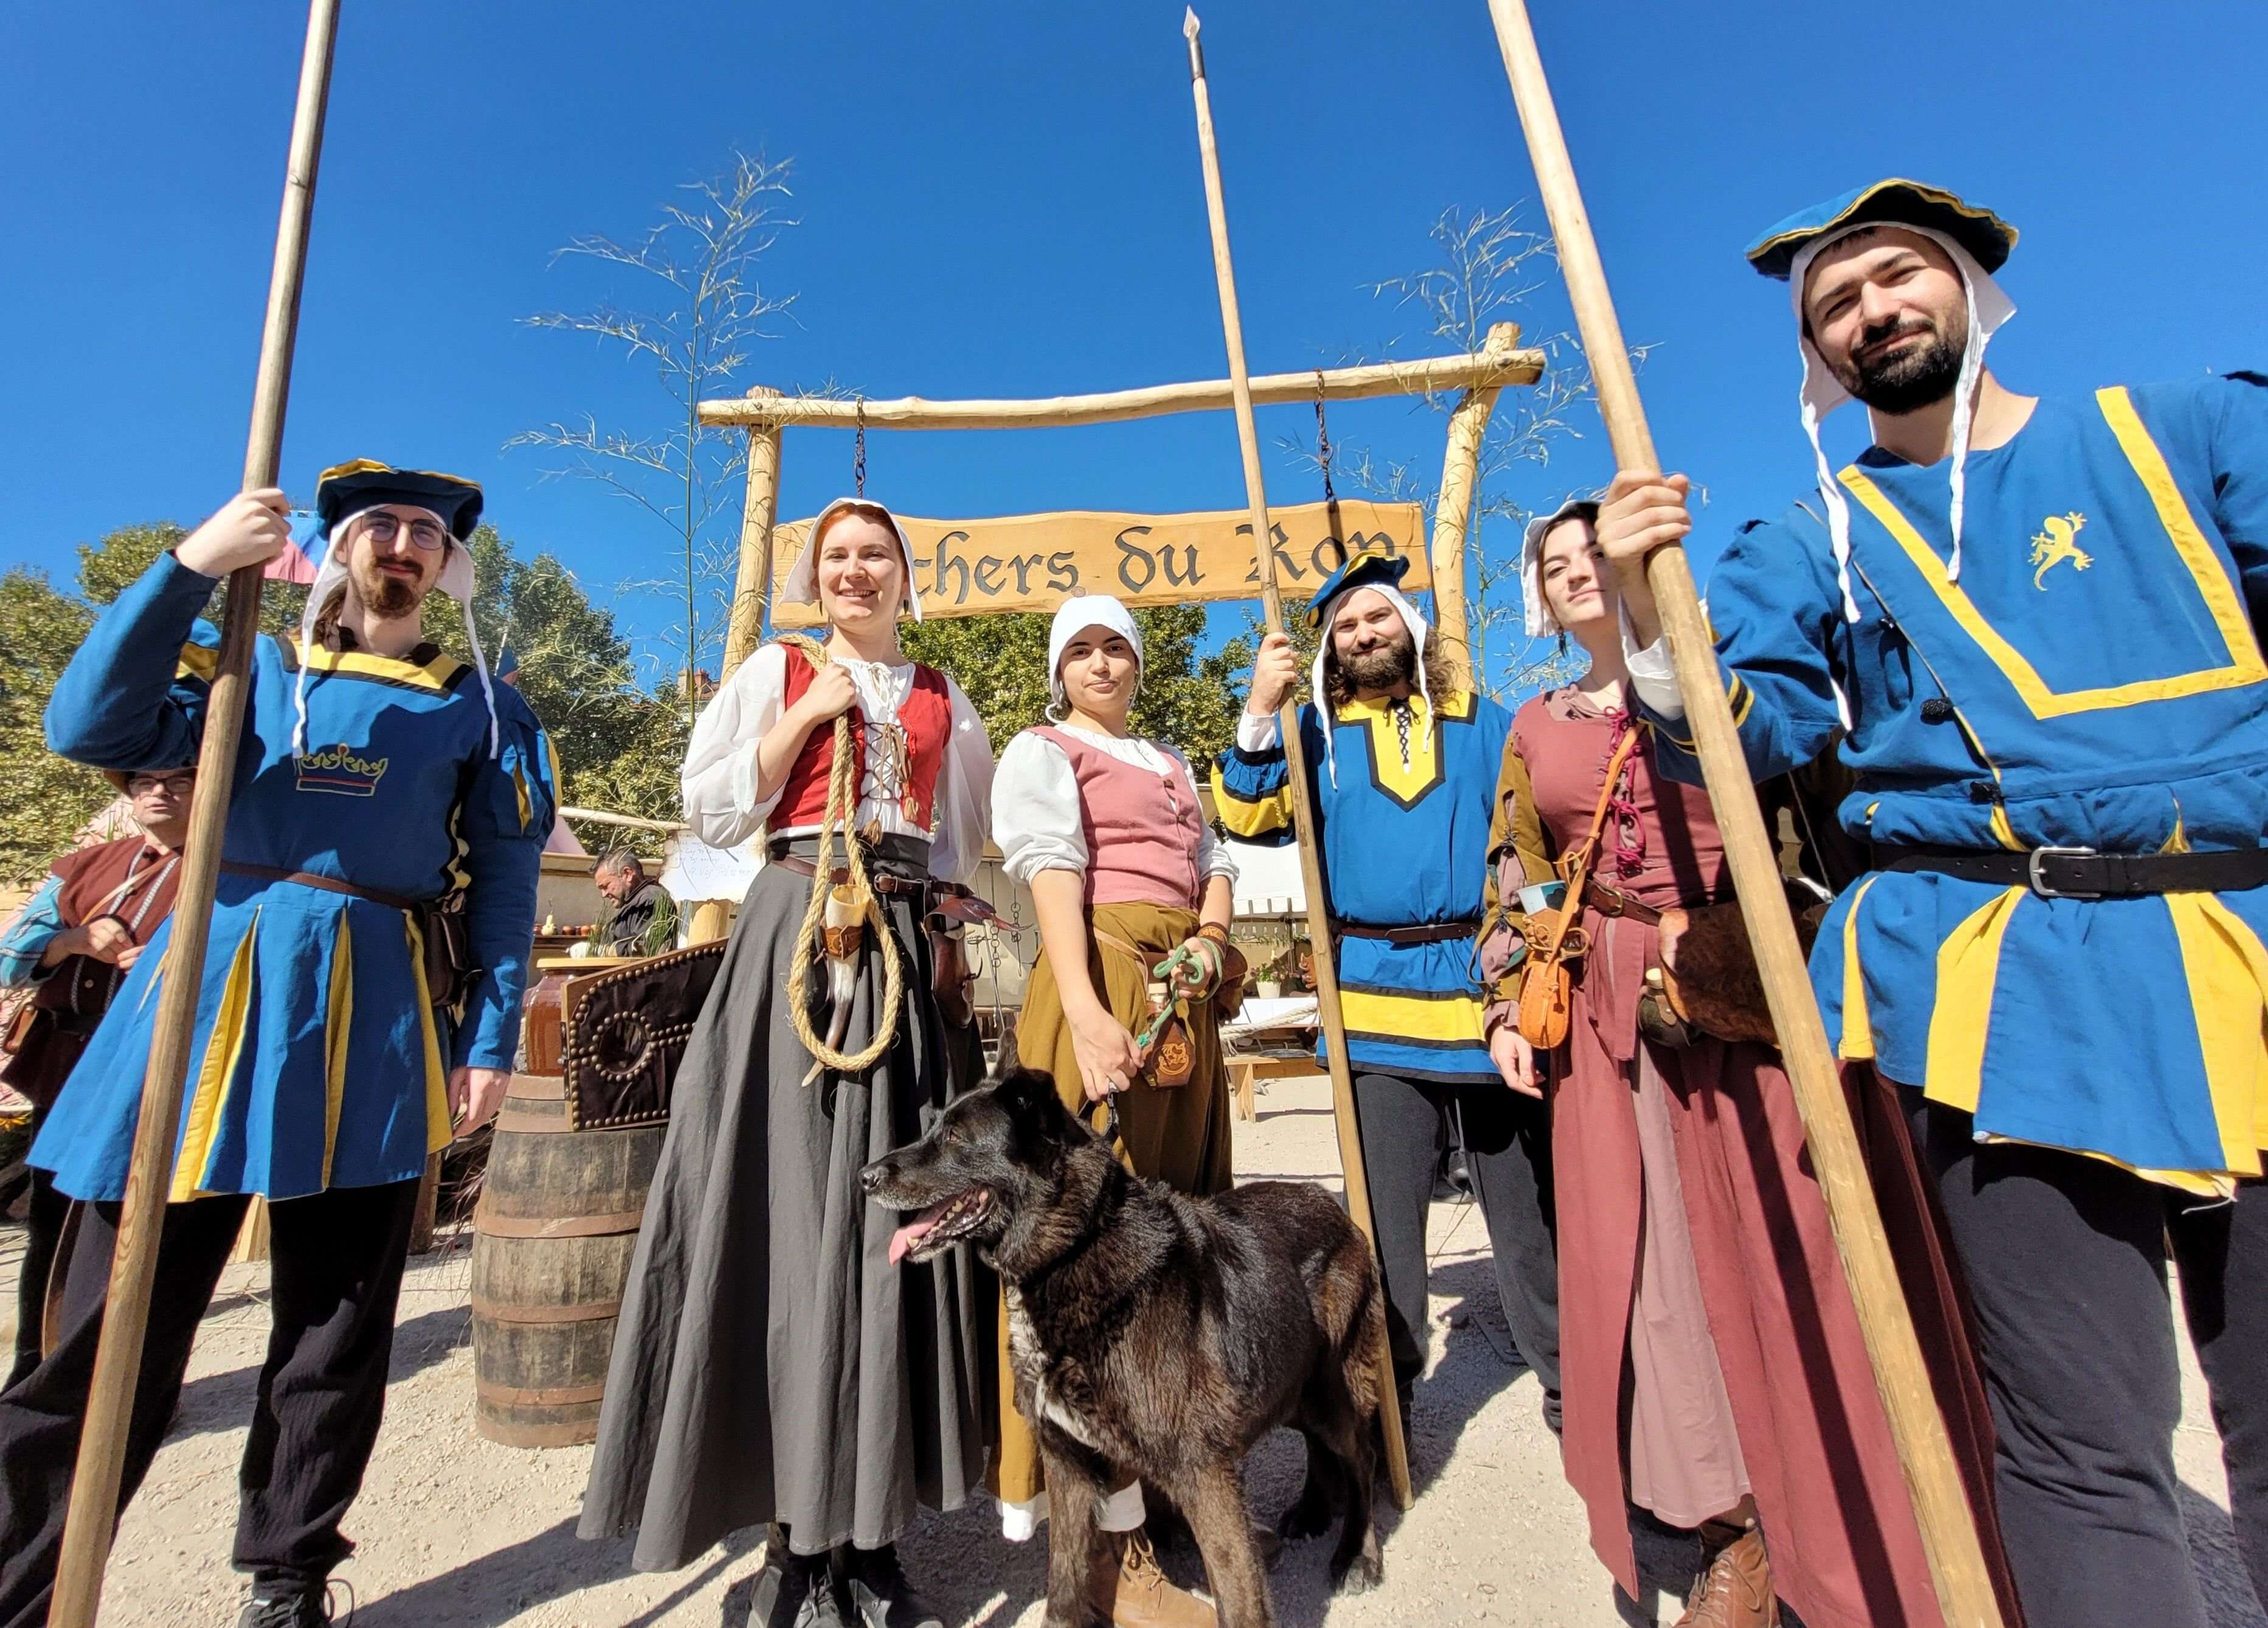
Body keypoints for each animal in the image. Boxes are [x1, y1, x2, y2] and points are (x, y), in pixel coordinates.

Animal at [857, 1070, 1379, 1628]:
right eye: (934, 1128)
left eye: (955, 1137)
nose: (866, 1177)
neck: (1072, 1252)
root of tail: (1329, 1204)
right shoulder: (1068, 1465)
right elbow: (1064, 1583)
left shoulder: (1204, 1473)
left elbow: (1239, 1599)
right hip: (1294, 1387)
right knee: (1322, 1445)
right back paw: (1312, 1511)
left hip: (1330, 1393)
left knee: (1359, 1457)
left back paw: (1359, 1554)